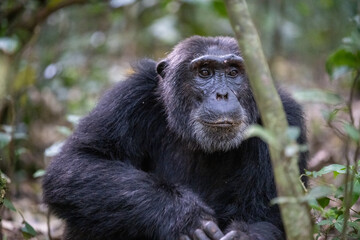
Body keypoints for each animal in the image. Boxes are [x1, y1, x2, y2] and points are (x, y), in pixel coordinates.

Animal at [42, 36, 306, 240]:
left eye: (233, 72)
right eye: (205, 72)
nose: (222, 94)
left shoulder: (285, 119)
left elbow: (274, 216)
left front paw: (243, 235)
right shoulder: (131, 95)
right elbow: (78, 161)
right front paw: (185, 215)